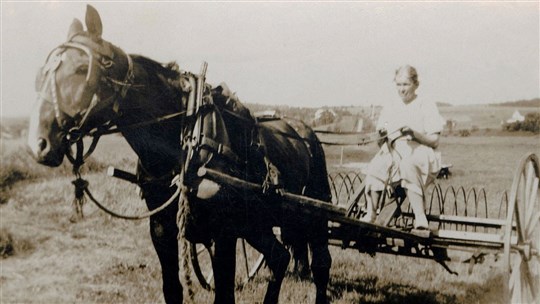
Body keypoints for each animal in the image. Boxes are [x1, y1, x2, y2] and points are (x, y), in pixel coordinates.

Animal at [28, 5, 334, 304]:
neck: (183, 144)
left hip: (313, 210)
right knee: (280, 257)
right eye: (42, 72)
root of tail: (303, 130)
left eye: (82, 68)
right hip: (256, 223)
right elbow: (171, 288)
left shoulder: (224, 233)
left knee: (320, 262)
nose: (38, 144)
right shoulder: (161, 227)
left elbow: (224, 295)